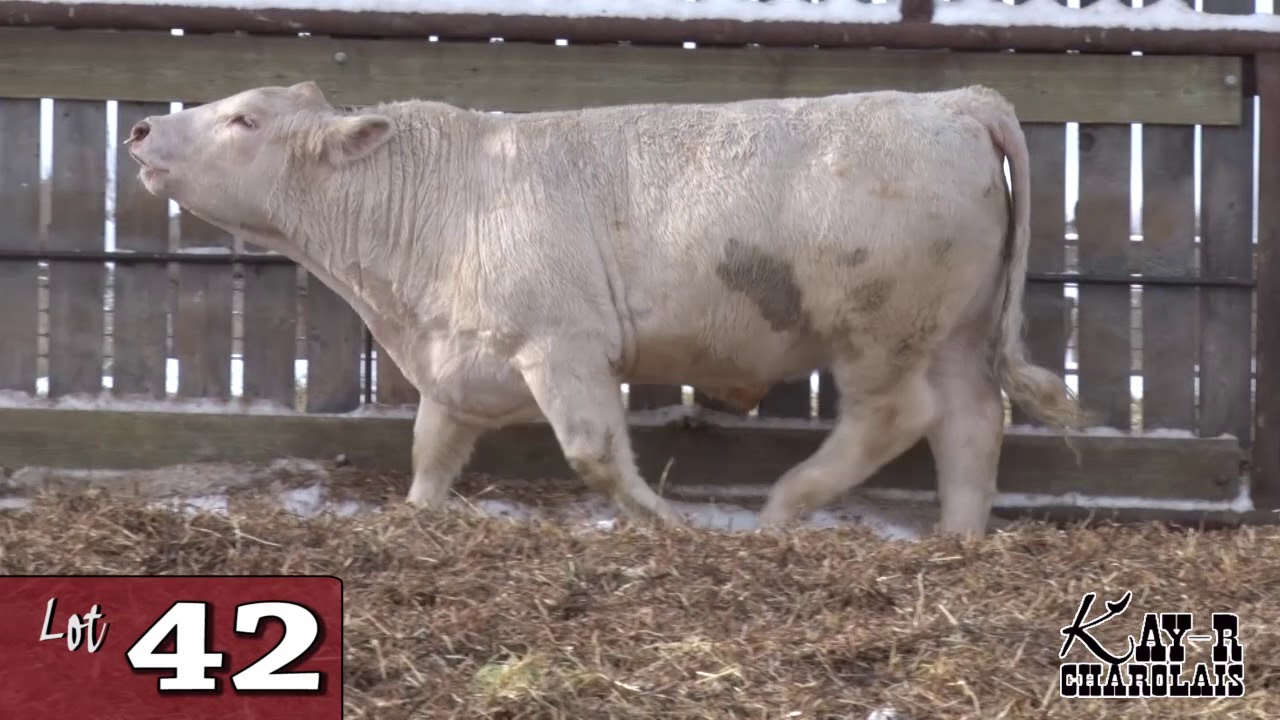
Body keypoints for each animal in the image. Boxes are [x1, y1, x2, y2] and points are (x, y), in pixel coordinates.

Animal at [125, 80, 1088, 536]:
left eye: (245, 120)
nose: (139, 130)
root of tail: (956, 102)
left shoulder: (563, 347)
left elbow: (592, 453)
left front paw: (668, 522)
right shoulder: (457, 359)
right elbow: (431, 452)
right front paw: (415, 518)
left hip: (876, 328)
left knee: (895, 417)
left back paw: (781, 509)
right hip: (956, 328)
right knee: (971, 423)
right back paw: (956, 538)